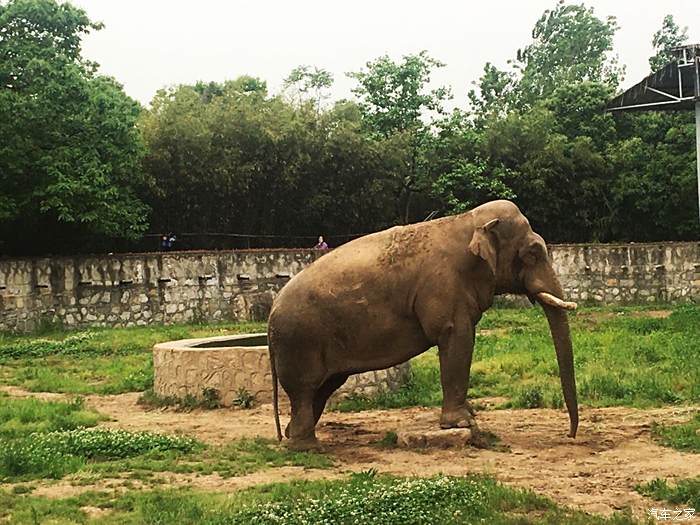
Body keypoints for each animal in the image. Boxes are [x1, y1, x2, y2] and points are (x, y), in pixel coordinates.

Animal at [266, 199, 576, 448]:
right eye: (533, 253)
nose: (570, 436)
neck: (467, 221)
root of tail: (271, 310)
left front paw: (470, 415)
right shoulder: (443, 288)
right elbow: (457, 337)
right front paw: (461, 423)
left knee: (323, 387)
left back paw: (293, 435)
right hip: (299, 341)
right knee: (305, 389)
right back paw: (308, 447)